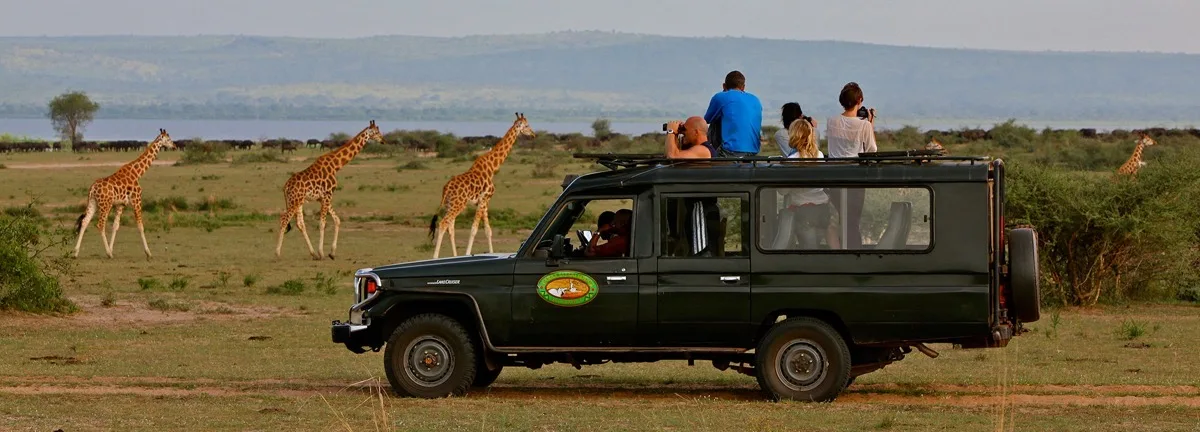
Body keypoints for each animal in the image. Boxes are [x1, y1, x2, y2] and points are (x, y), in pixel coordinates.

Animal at [73, 128, 176, 259]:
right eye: (168, 139)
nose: (174, 146)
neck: (137, 173)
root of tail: (93, 188)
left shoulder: (120, 204)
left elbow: (115, 226)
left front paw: (112, 249)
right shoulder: (137, 200)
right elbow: (140, 225)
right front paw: (148, 253)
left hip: (93, 203)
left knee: (85, 222)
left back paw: (75, 253)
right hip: (105, 205)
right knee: (100, 225)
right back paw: (108, 253)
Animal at [275, 120, 383, 260]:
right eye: (376, 132)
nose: (383, 140)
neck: (336, 165)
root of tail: (286, 186)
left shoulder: (323, 197)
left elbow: (337, 220)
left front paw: (331, 253)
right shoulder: (328, 195)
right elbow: (323, 223)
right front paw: (322, 252)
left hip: (298, 201)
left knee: (300, 224)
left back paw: (313, 254)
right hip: (294, 201)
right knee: (284, 220)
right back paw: (277, 253)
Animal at [429, 113, 535, 258]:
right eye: (527, 125)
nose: (534, 134)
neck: (492, 168)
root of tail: (446, 189)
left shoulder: (483, 201)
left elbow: (488, 230)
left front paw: (491, 252)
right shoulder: (485, 199)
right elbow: (474, 229)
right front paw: (468, 253)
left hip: (450, 204)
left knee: (450, 227)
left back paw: (454, 256)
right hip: (458, 205)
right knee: (444, 223)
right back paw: (435, 257)